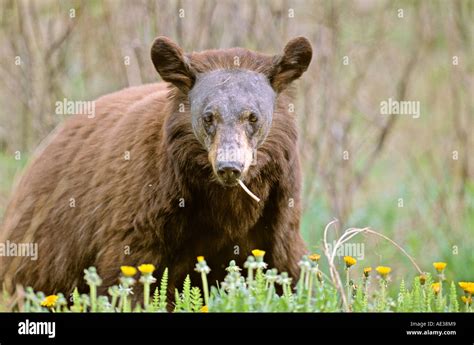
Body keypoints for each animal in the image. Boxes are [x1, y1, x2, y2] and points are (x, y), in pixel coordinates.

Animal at [0, 35, 312, 300]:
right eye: (208, 117)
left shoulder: (278, 215)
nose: (229, 167)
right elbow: (129, 275)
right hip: (46, 245)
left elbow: (291, 271)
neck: (226, 202)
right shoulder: (144, 208)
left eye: (253, 117)